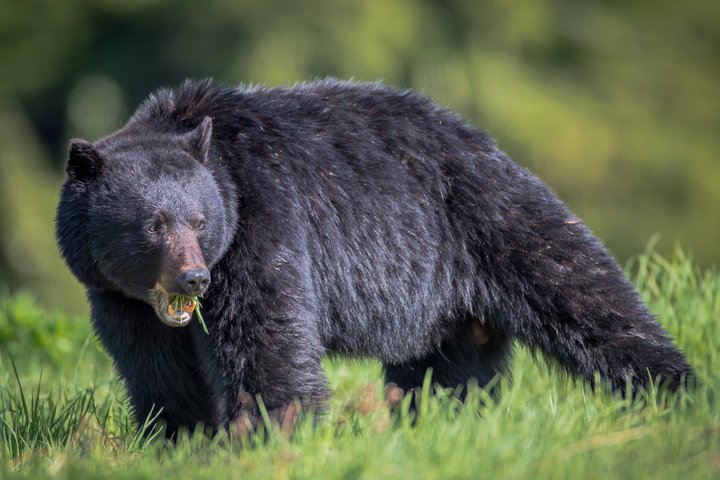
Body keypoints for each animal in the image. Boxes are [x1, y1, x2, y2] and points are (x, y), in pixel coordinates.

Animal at [56, 78, 693, 437]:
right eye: (153, 225)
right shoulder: (118, 297)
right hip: (447, 312)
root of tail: (486, 143)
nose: (194, 277)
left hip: (498, 225)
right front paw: (181, 438)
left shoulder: (262, 222)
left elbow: (268, 341)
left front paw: (271, 435)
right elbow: (157, 369)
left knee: (589, 294)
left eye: (200, 221)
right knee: (445, 376)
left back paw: (675, 392)